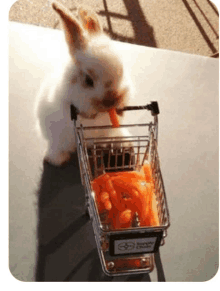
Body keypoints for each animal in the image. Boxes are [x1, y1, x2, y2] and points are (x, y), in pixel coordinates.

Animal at [35, 1, 133, 167]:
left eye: (122, 71)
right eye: (88, 80)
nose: (111, 101)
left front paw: (119, 110)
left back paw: (124, 143)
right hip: (57, 138)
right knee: (57, 148)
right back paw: (56, 159)